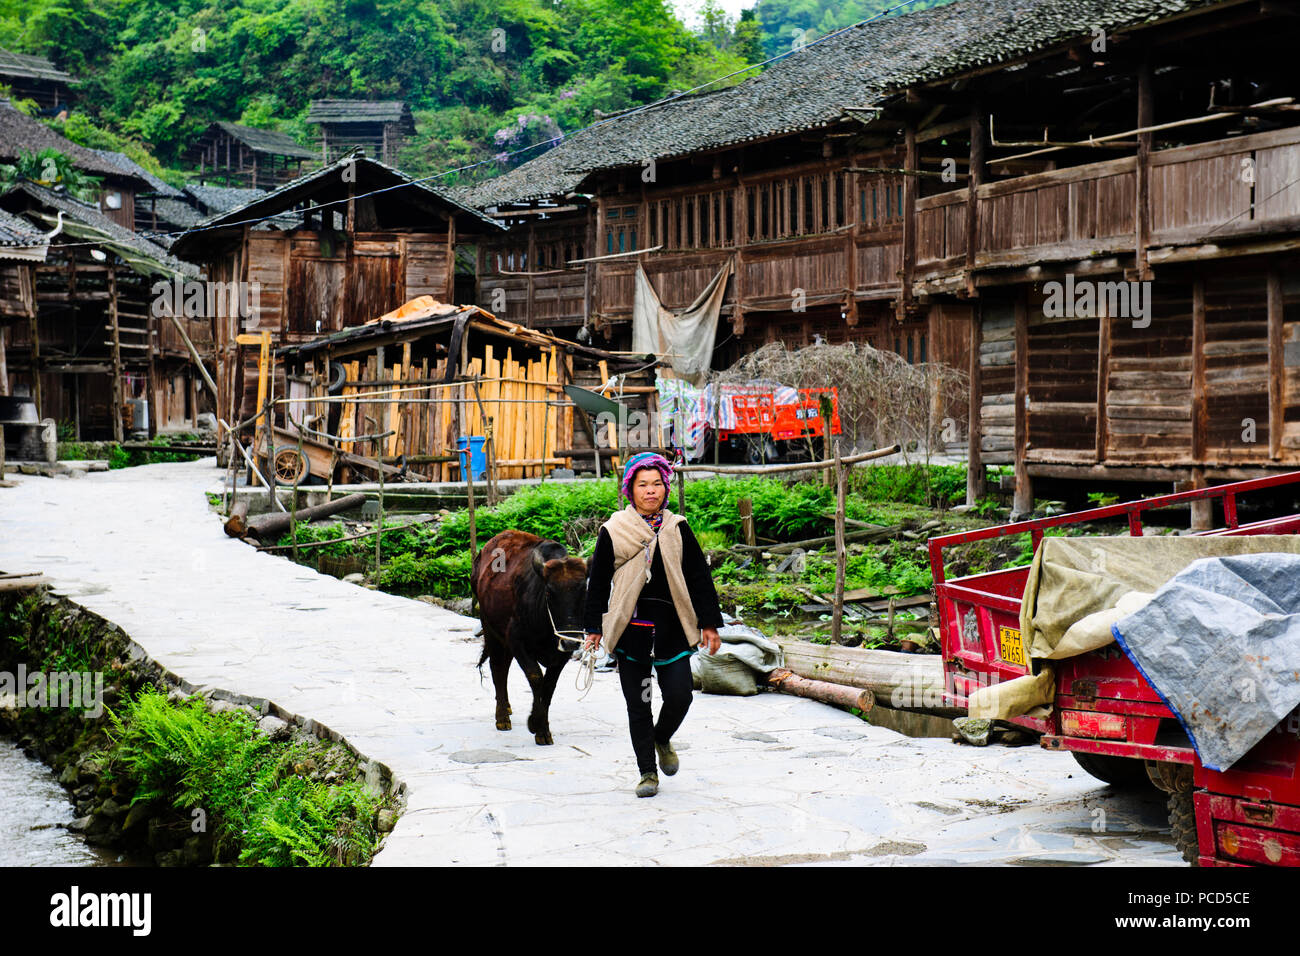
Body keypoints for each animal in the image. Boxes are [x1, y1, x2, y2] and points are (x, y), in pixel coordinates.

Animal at [470, 530, 587, 749]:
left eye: (584, 591)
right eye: (549, 591)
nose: (571, 641)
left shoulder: (561, 655)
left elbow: (548, 686)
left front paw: (542, 728)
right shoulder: (517, 641)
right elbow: (536, 677)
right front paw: (536, 724)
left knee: (504, 667)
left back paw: (507, 707)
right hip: (491, 629)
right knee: (497, 668)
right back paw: (502, 717)